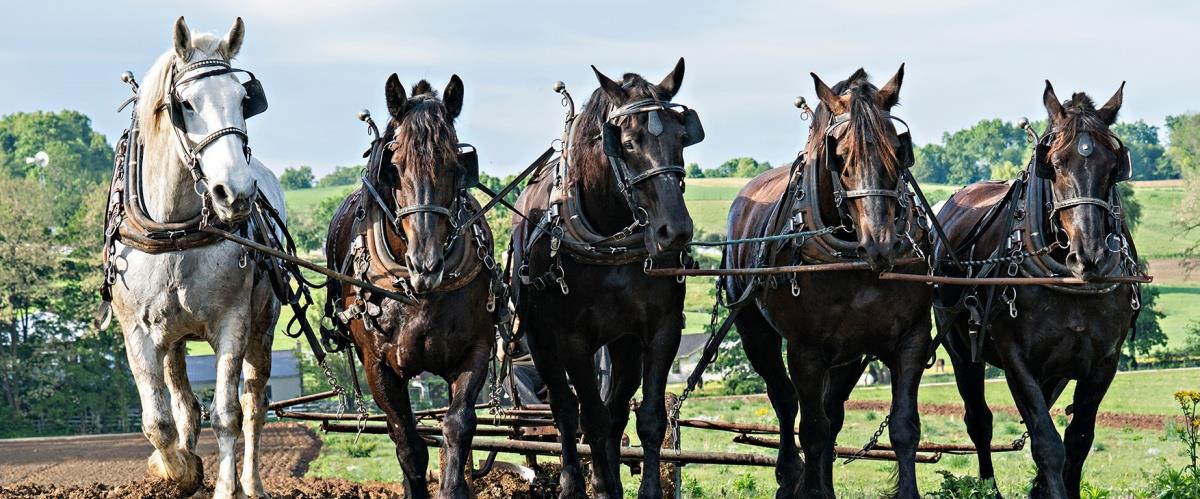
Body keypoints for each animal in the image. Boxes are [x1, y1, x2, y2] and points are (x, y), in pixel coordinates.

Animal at [103, 17, 284, 498]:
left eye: (243, 100)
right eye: (185, 104)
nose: (235, 193)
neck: (175, 232)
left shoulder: (232, 323)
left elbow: (228, 415)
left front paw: (223, 487)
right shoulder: (138, 332)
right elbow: (159, 422)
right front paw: (178, 470)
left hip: (263, 326)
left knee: (254, 403)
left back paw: (252, 482)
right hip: (173, 339)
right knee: (184, 403)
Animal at [324, 74, 500, 499]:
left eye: (456, 165)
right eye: (395, 167)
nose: (427, 264)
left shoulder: (476, 348)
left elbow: (457, 426)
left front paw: (455, 488)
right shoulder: (379, 366)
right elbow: (408, 443)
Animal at [510, 58, 699, 499]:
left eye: (683, 137)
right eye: (627, 143)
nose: (675, 232)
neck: (609, 236)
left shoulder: (662, 328)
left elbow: (648, 418)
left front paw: (644, 490)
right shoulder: (572, 339)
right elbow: (588, 417)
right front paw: (599, 485)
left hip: (623, 344)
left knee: (615, 411)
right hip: (541, 341)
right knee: (565, 410)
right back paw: (576, 482)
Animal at [724, 66, 933, 498]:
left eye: (898, 151)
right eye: (840, 156)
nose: (880, 243)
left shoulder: (911, 338)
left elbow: (903, 426)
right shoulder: (806, 349)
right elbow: (812, 429)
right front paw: (810, 489)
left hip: (849, 353)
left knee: (833, 413)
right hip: (755, 332)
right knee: (785, 401)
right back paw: (790, 475)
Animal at [934, 82, 1139, 498]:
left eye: (1114, 167)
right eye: (1055, 164)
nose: (1090, 256)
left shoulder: (1104, 362)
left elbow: (1078, 441)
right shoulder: (1017, 360)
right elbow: (1046, 443)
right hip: (960, 349)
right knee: (979, 420)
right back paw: (989, 487)